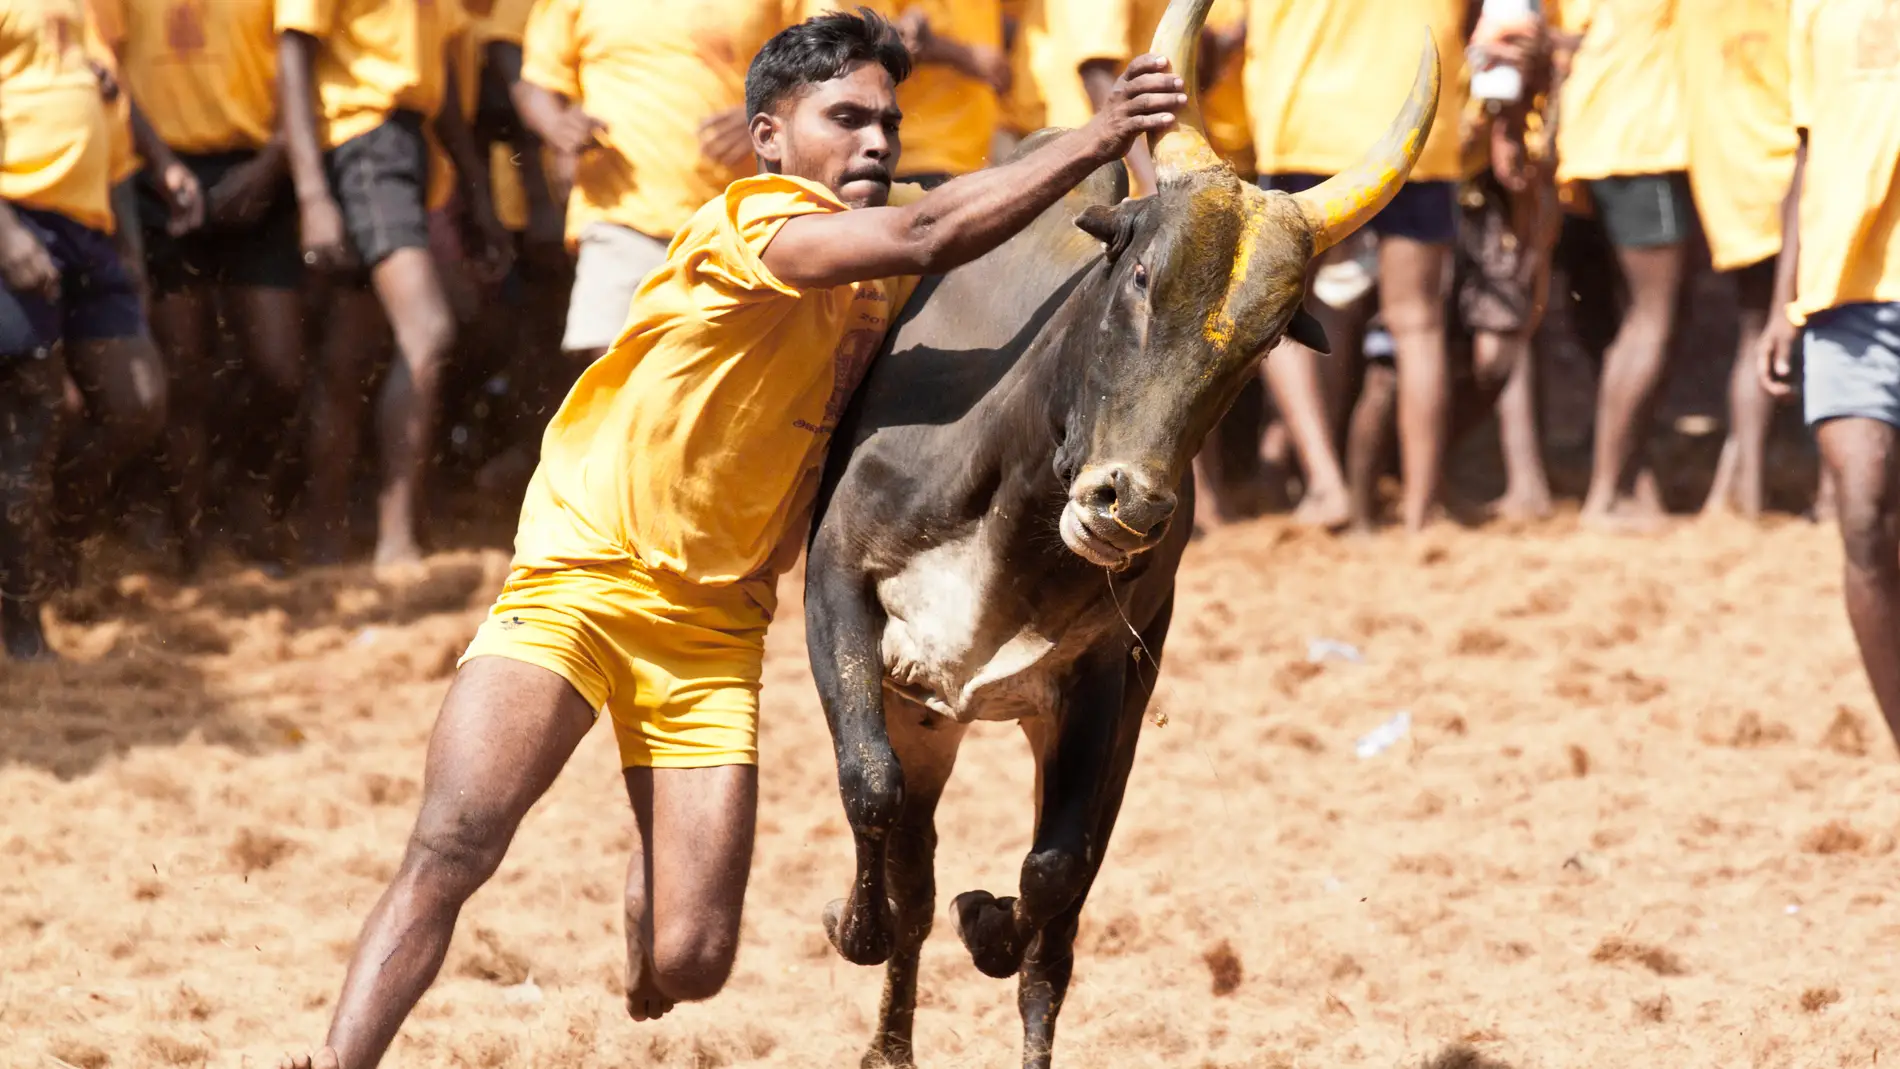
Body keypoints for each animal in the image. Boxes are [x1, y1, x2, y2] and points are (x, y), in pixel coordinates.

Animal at [801, 2, 1436, 1063]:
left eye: (1268, 336)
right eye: (1141, 273)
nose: (1127, 505)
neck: (1015, 506)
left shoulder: (1111, 681)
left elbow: (1053, 875)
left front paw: (990, 920)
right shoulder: (839, 589)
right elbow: (872, 788)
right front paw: (853, 925)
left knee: (1040, 935)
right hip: (925, 710)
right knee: (912, 865)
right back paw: (888, 1028)